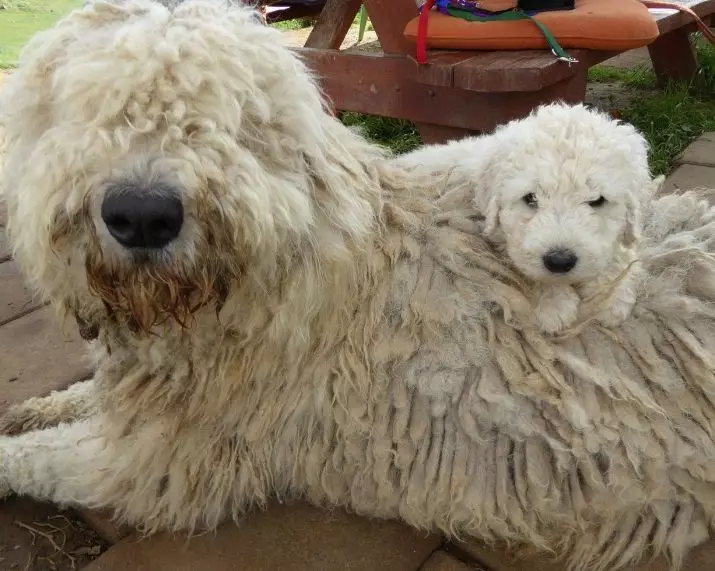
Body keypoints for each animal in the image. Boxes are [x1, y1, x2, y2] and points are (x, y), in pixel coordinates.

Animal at [2, 1, 715, 571]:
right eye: (87, 110)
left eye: (234, 120)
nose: (143, 214)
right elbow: (74, 400)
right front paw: (35, 407)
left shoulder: (163, 463)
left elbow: (37, 457)